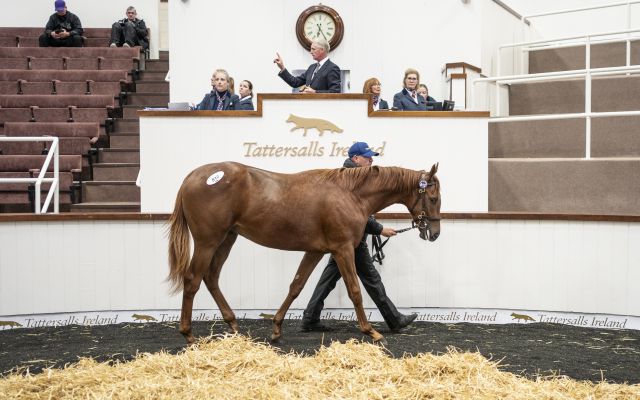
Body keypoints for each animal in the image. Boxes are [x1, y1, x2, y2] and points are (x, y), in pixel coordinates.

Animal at [168, 161, 442, 342]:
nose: (434, 233)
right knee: (192, 280)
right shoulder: (343, 249)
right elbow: (355, 290)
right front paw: (371, 331)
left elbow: (297, 285)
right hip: (207, 241)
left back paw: (234, 326)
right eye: (434, 198)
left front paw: (276, 329)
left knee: (211, 277)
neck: (351, 194)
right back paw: (188, 335)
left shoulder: (316, 251)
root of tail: (192, 177)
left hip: (227, 238)